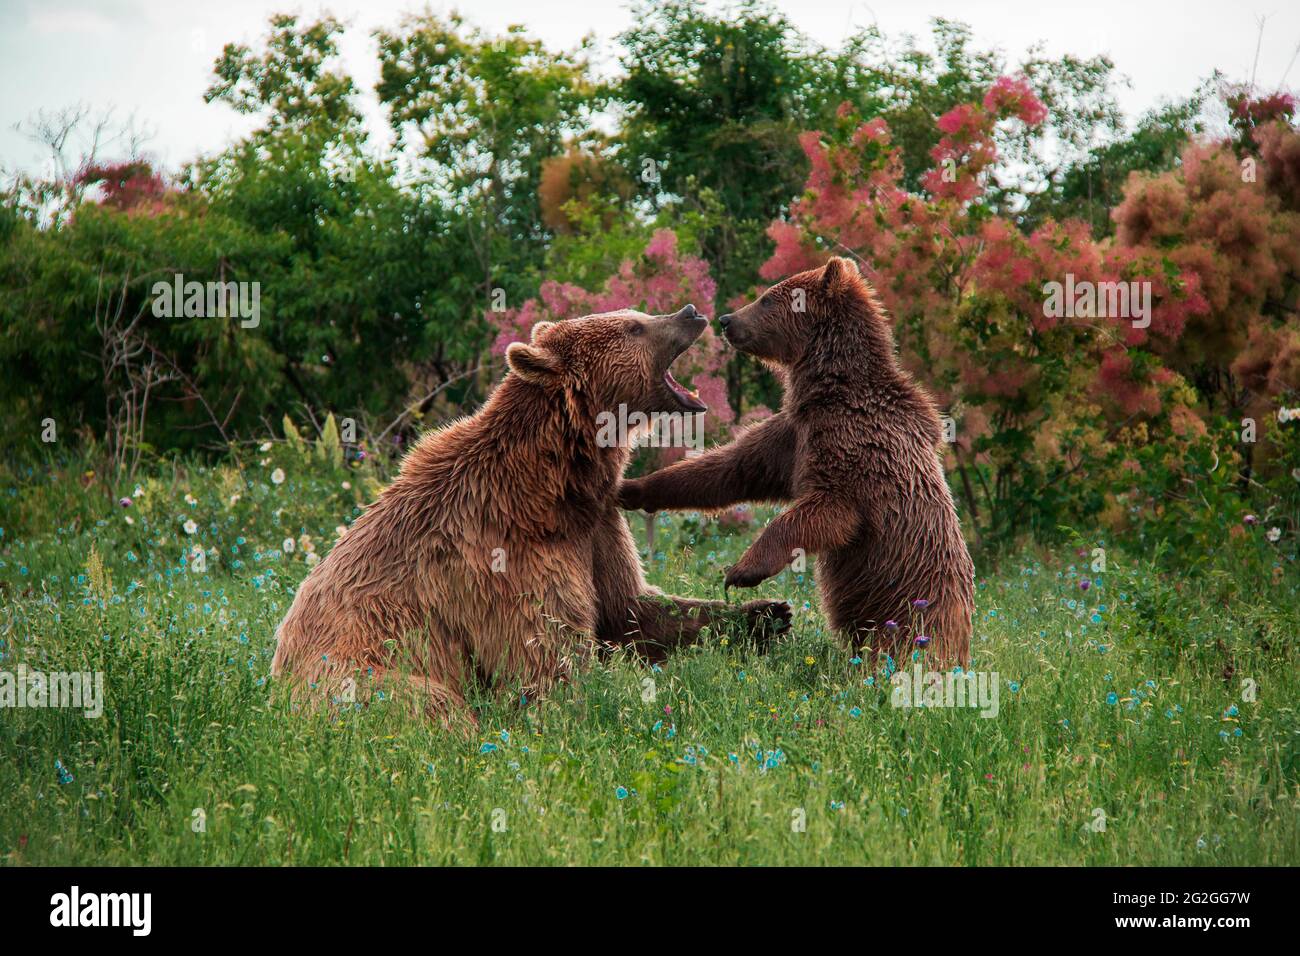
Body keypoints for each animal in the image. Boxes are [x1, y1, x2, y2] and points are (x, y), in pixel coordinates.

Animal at [269, 306, 785, 733]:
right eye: (633, 326)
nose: (691, 311)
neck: (553, 484)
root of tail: (276, 693)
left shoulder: (596, 524)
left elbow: (631, 608)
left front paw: (765, 613)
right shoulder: (502, 556)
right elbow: (546, 655)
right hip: (362, 673)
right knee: (427, 703)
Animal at [618, 260, 977, 665]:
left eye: (766, 299)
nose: (726, 319)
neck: (828, 390)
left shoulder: (855, 448)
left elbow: (827, 511)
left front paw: (742, 570)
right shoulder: (792, 436)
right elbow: (734, 468)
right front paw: (634, 488)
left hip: (908, 606)